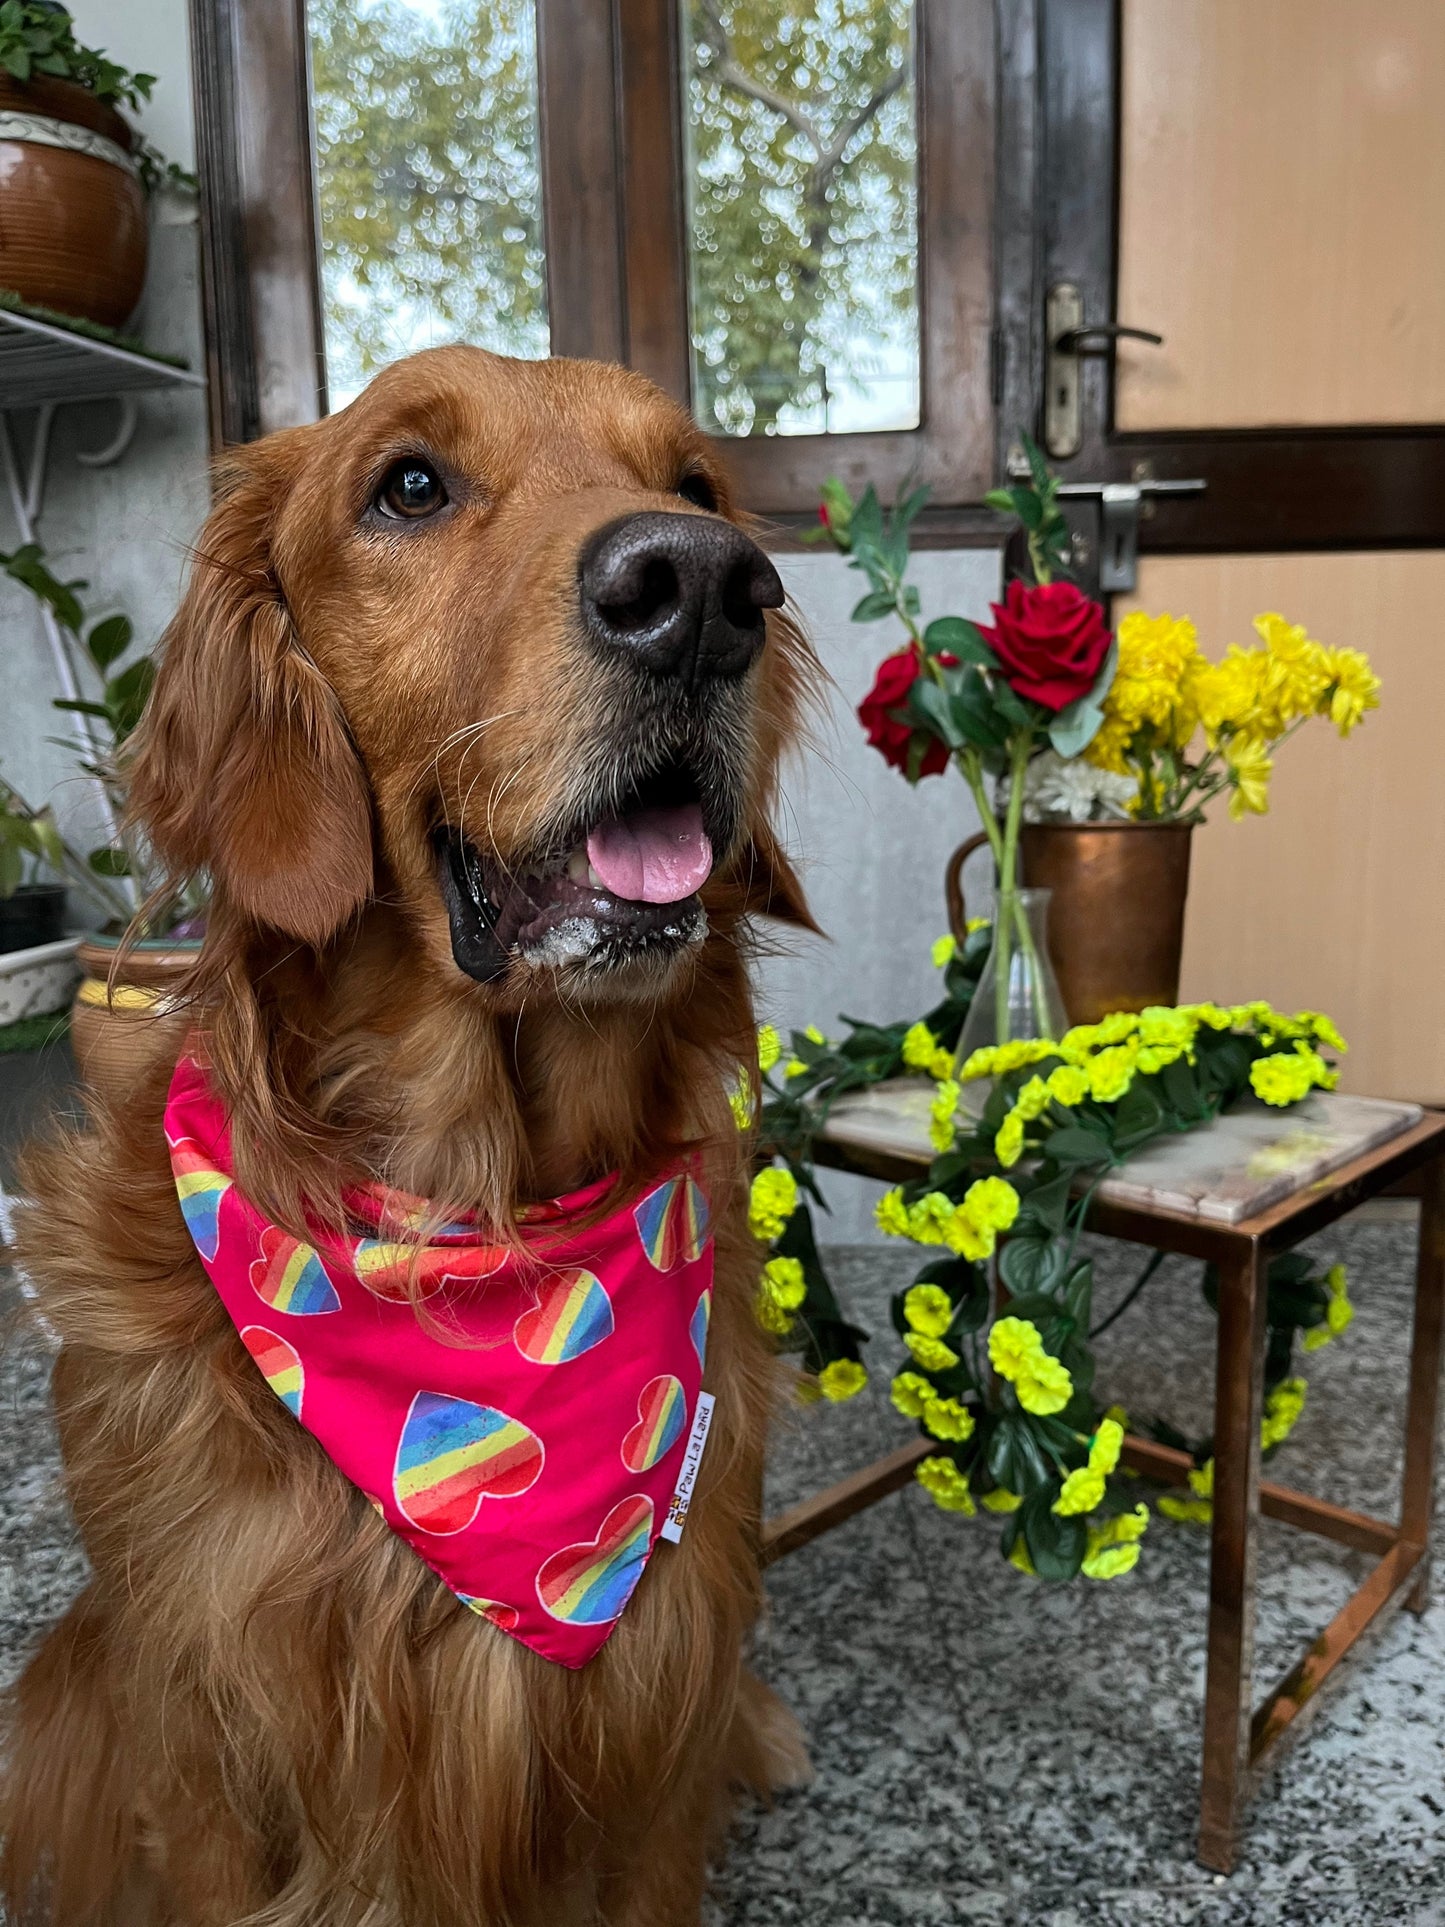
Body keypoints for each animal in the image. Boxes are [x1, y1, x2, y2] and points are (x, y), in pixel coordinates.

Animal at [0, 350, 816, 1927]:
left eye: (692, 484)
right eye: (411, 487)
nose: (701, 586)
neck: (476, 1219)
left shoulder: (655, 1725)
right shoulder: (207, 1726)